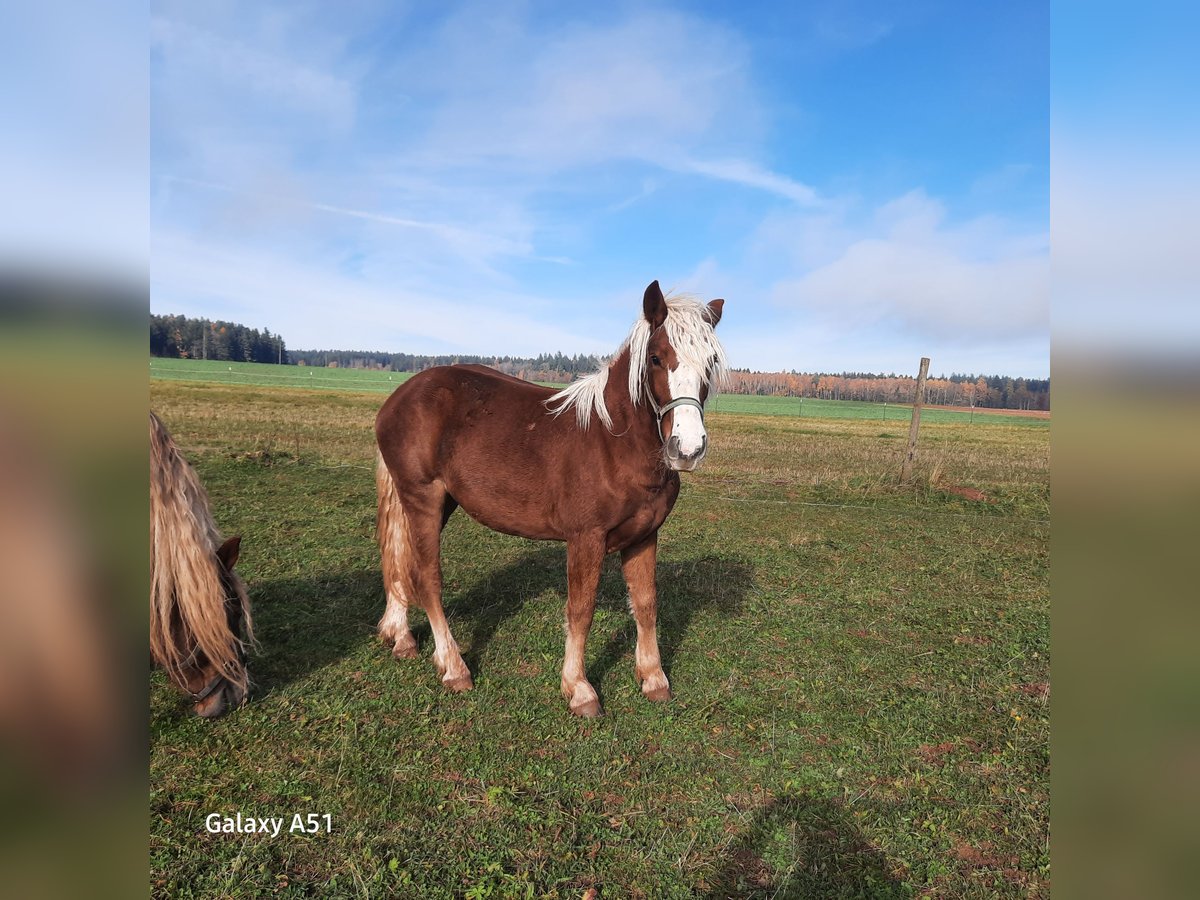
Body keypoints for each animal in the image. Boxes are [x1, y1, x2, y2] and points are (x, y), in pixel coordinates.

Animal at [375, 280, 727, 716]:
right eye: (657, 357)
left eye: (711, 361)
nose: (688, 448)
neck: (614, 442)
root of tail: (399, 397)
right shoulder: (585, 539)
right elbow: (581, 610)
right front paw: (578, 688)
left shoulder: (645, 536)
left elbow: (645, 604)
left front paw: (653, 677)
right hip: (422, 498)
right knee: (427, 576)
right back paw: (454, 667)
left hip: (437, 503)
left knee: (401, 558)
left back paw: (401, 636)